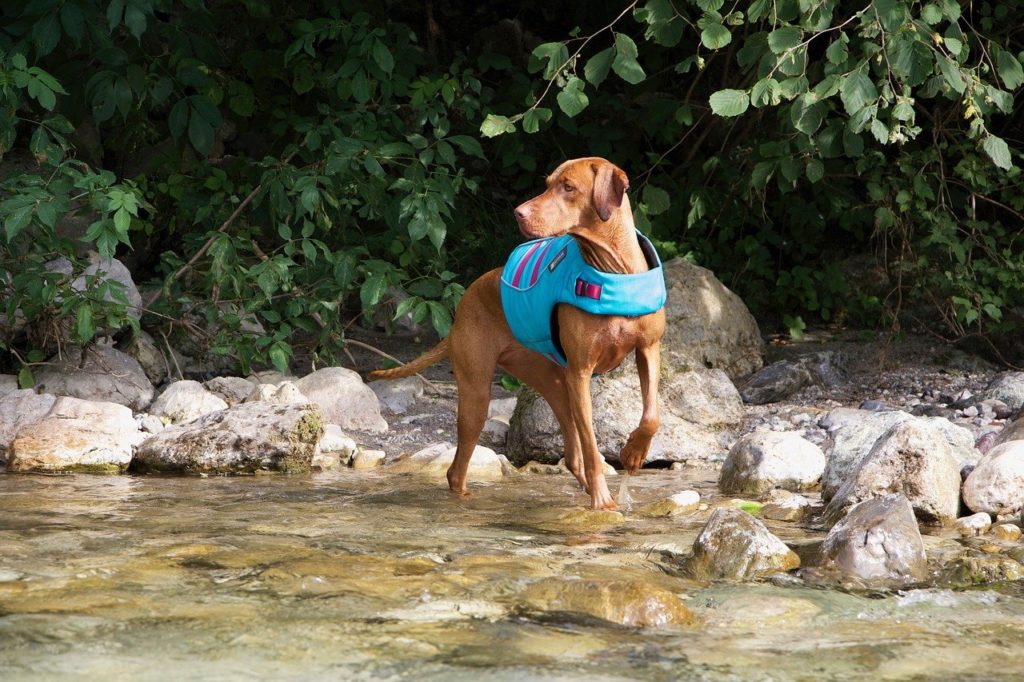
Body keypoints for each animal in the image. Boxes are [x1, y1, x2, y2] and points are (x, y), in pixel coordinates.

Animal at [372, 156, 667, 507]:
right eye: (548, 183)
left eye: (568, 187)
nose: (518, 213)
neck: (613, 269)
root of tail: (459, 315)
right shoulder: (581, 371)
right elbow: (593, 447)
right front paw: (602, 503)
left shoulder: (648, 349)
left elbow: (651, 415)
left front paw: (634, 453)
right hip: (479, 395)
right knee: (457, 469)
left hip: (554, 383)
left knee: (572, 456)